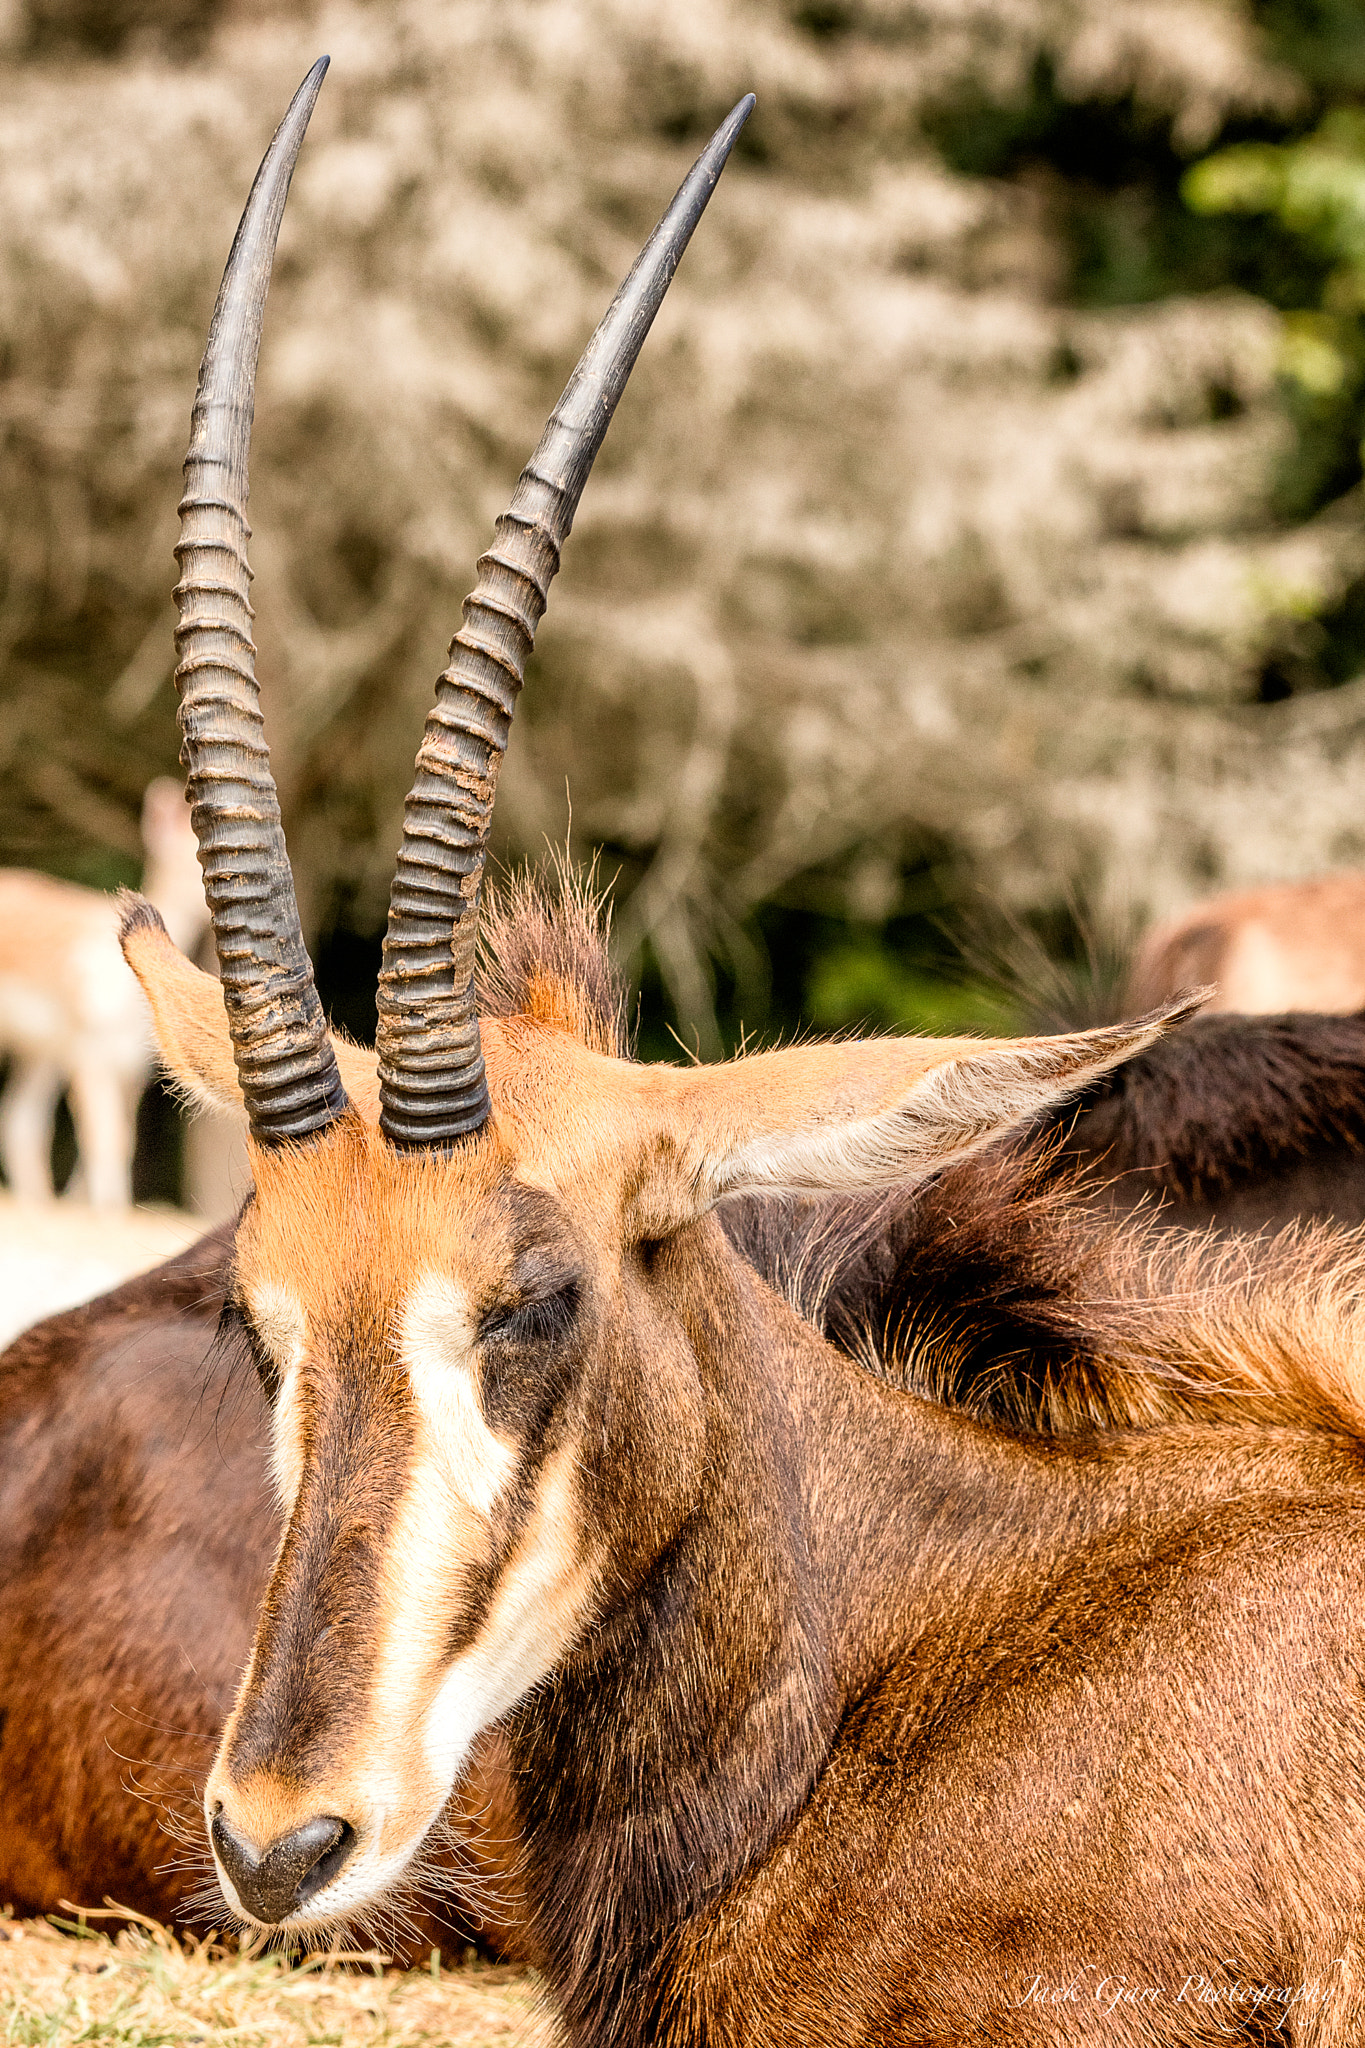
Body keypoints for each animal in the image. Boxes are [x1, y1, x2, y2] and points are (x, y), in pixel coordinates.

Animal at [0, 777, 207, 1207]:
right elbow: (103, 1138)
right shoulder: (88, 1050)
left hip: (40, 1052)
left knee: (19, 1119)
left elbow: (123, 1139)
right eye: (188, 865)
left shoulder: (133, 1066)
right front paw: (105, 1208)